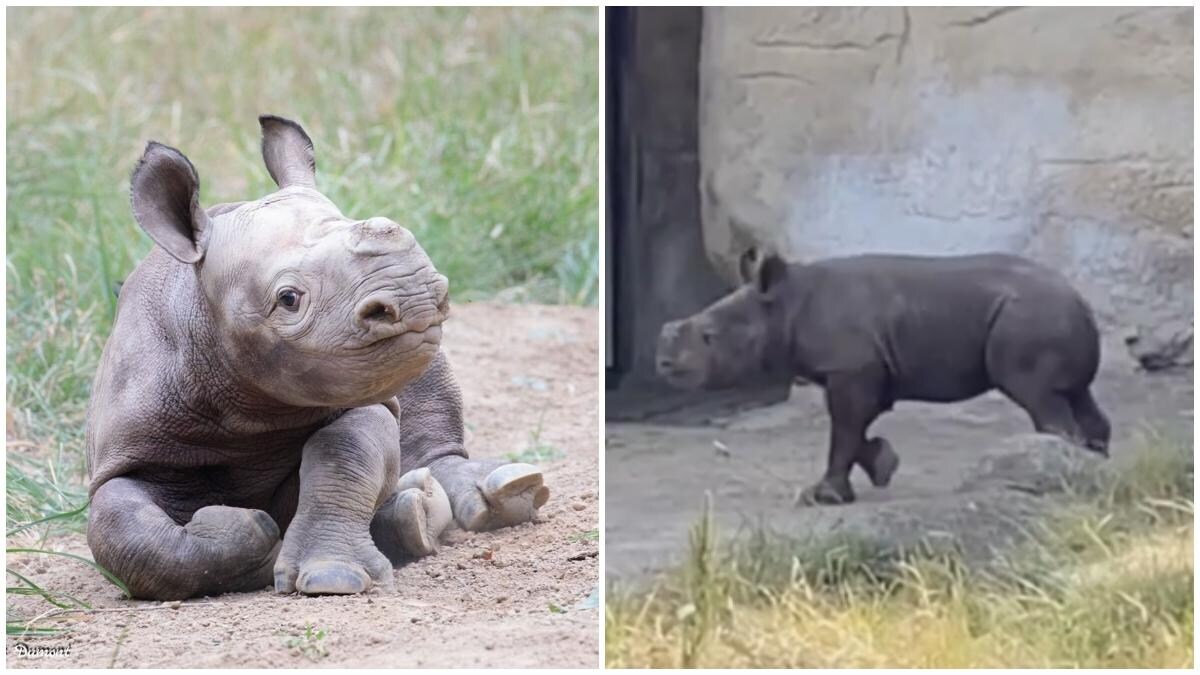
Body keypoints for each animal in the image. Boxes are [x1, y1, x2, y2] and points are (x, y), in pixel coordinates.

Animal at [85, 115, 550, 600]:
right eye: (288, 299)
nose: (417, 295)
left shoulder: (360, 394)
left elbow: (344, 459)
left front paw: (332, 576)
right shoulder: (130, 450)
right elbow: (125, 530)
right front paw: (249, 532)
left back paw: (480, 498)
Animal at [656, 249, 1111, 505]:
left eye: (709, 337)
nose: (662, 363)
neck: (784, 304)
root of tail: (1081, 301)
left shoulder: (851, 365)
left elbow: (844, 429)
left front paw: (824, 498)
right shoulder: (864, 367)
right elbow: (853, 428)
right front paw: (883, 465)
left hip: (1028, 318)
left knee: (1036, 395)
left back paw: (1055, 477)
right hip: (1047, 316)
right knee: (1077, 394)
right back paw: (1094, 467)